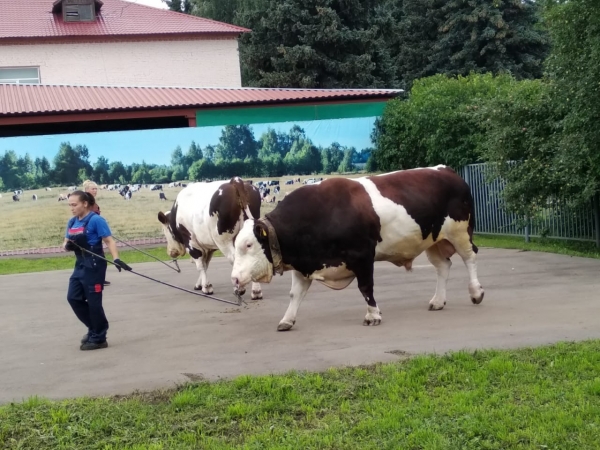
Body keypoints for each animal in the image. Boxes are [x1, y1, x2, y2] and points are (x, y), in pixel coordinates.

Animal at [232, 165, 486, 330]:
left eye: (248, 245)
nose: (234, 278)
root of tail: (446, 170)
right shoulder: (304, 262)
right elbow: (295, 294)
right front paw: (287, 319)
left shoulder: (362, 255)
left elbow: (366, 287)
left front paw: (373, 315)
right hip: (433, 239)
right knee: (443, 266)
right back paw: (438, 301)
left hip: (460, 232)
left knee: (470, 258)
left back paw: (476, 292)